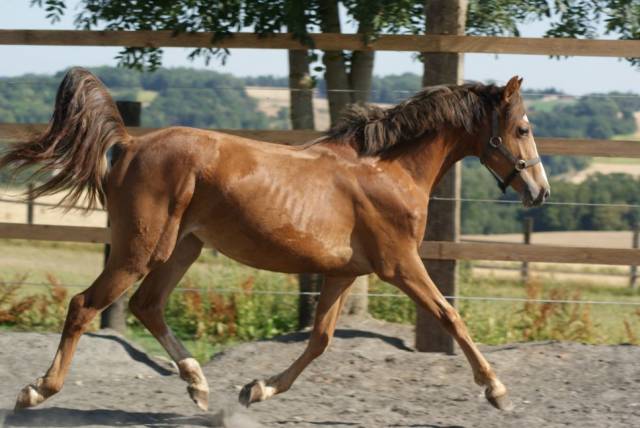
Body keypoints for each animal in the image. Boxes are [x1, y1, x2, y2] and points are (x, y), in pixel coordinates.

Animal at [2, 68, 549, 413]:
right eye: (522, 128)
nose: (540, 192)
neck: (389, 170)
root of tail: (130, 144)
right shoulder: (400, 264)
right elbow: (451, 316)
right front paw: (498, 391)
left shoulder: (343, 272)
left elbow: (320, 340)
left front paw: (256, 389)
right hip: (139, 249)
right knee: (84, 304)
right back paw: (36, 392)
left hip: (181, 248)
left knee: (146, 305)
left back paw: (198, 385)